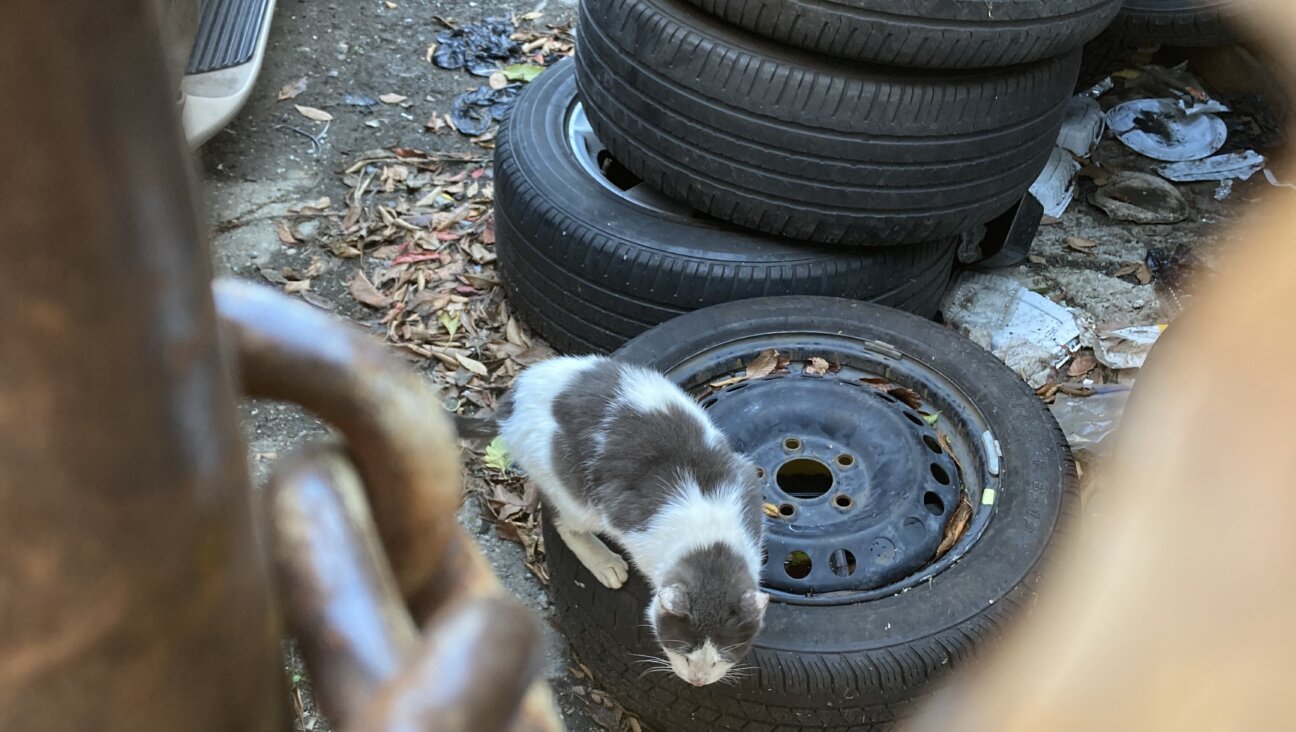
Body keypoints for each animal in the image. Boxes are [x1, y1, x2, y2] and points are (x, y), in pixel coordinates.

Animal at [461, 354, 767, 684]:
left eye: (721, 657)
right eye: (683, 652)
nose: (697, 680)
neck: (710, 539)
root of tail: (511, 402)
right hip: (571, 491)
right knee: (562, 521)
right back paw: (604, 562)